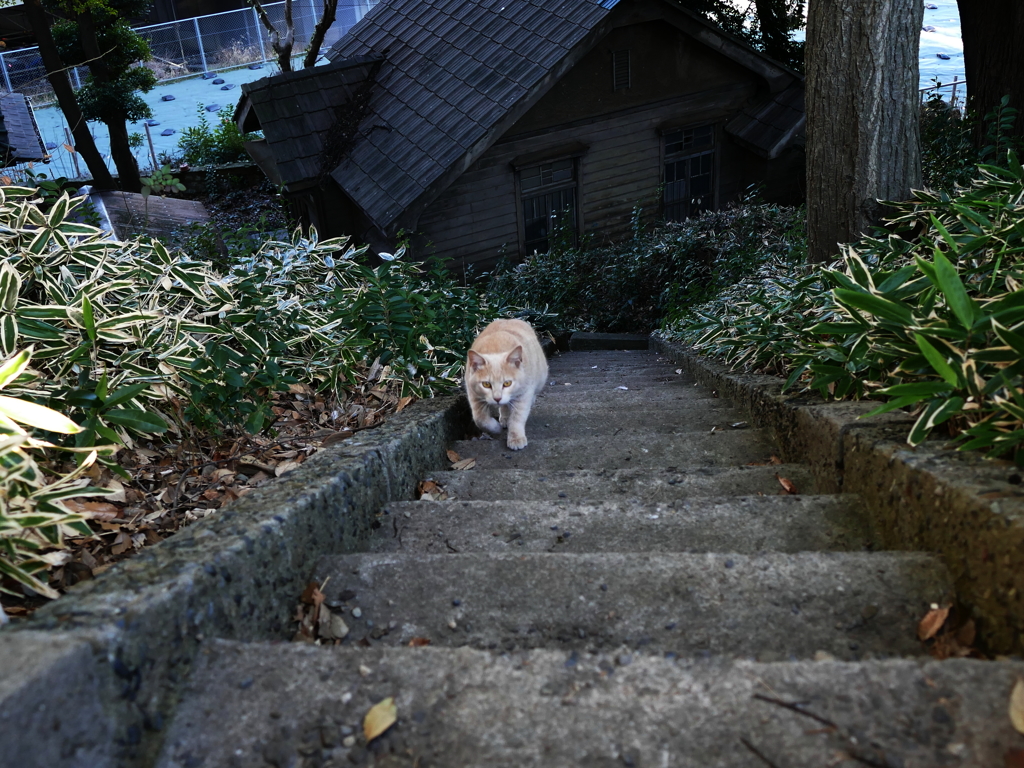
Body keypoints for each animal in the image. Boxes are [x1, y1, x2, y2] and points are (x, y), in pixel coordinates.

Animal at [466, 319, 548, 450]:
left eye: (507, 383)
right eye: (486, 384)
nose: (497, 398)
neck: (496, 347)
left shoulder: (523, 394)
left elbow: (516, 419)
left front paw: (516, 438)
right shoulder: (473, 394)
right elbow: (480, 419)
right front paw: (496, 428)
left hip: (540, 378)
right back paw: (504, 418)